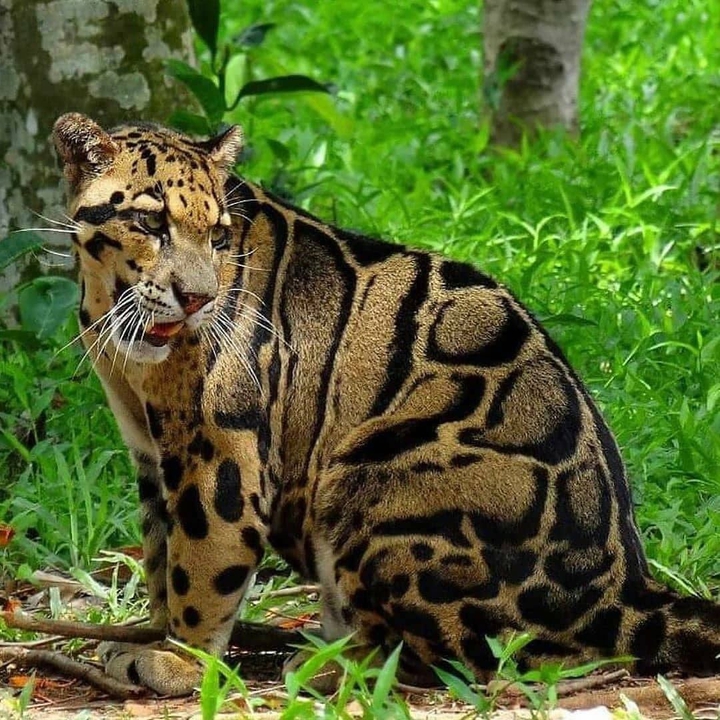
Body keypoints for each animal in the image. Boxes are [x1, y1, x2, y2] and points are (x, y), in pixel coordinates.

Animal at [52, 112, 720, 696]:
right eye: (150, 225)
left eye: (217, 235)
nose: (197, 298)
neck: (112, 306)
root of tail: (625, 592)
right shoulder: (149, 450)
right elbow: (160, 553)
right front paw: (152, 636)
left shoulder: (220, 448)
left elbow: (200, 562)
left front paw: (181, 661)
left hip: (375, 471)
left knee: (462, 657)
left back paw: (325, 666)